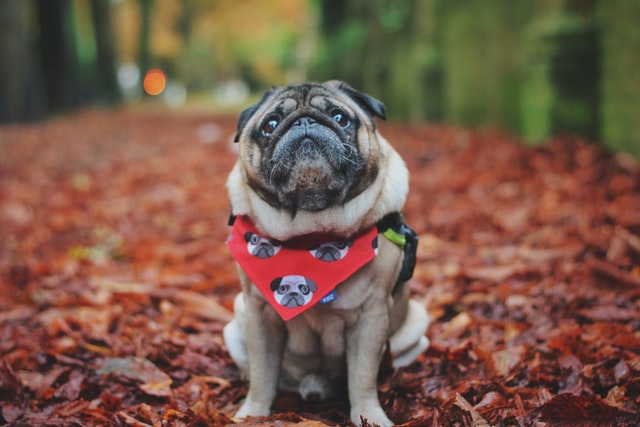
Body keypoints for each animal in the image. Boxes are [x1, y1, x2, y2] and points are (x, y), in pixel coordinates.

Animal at [222, 81, 428, 427]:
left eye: (339, 117)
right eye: (271, 125)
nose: (304, 121)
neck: (311, 234)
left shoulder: (371, 317)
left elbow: (362, 378)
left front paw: (370, 416)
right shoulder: (260, 315)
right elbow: (262, 375)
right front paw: (252, 414)